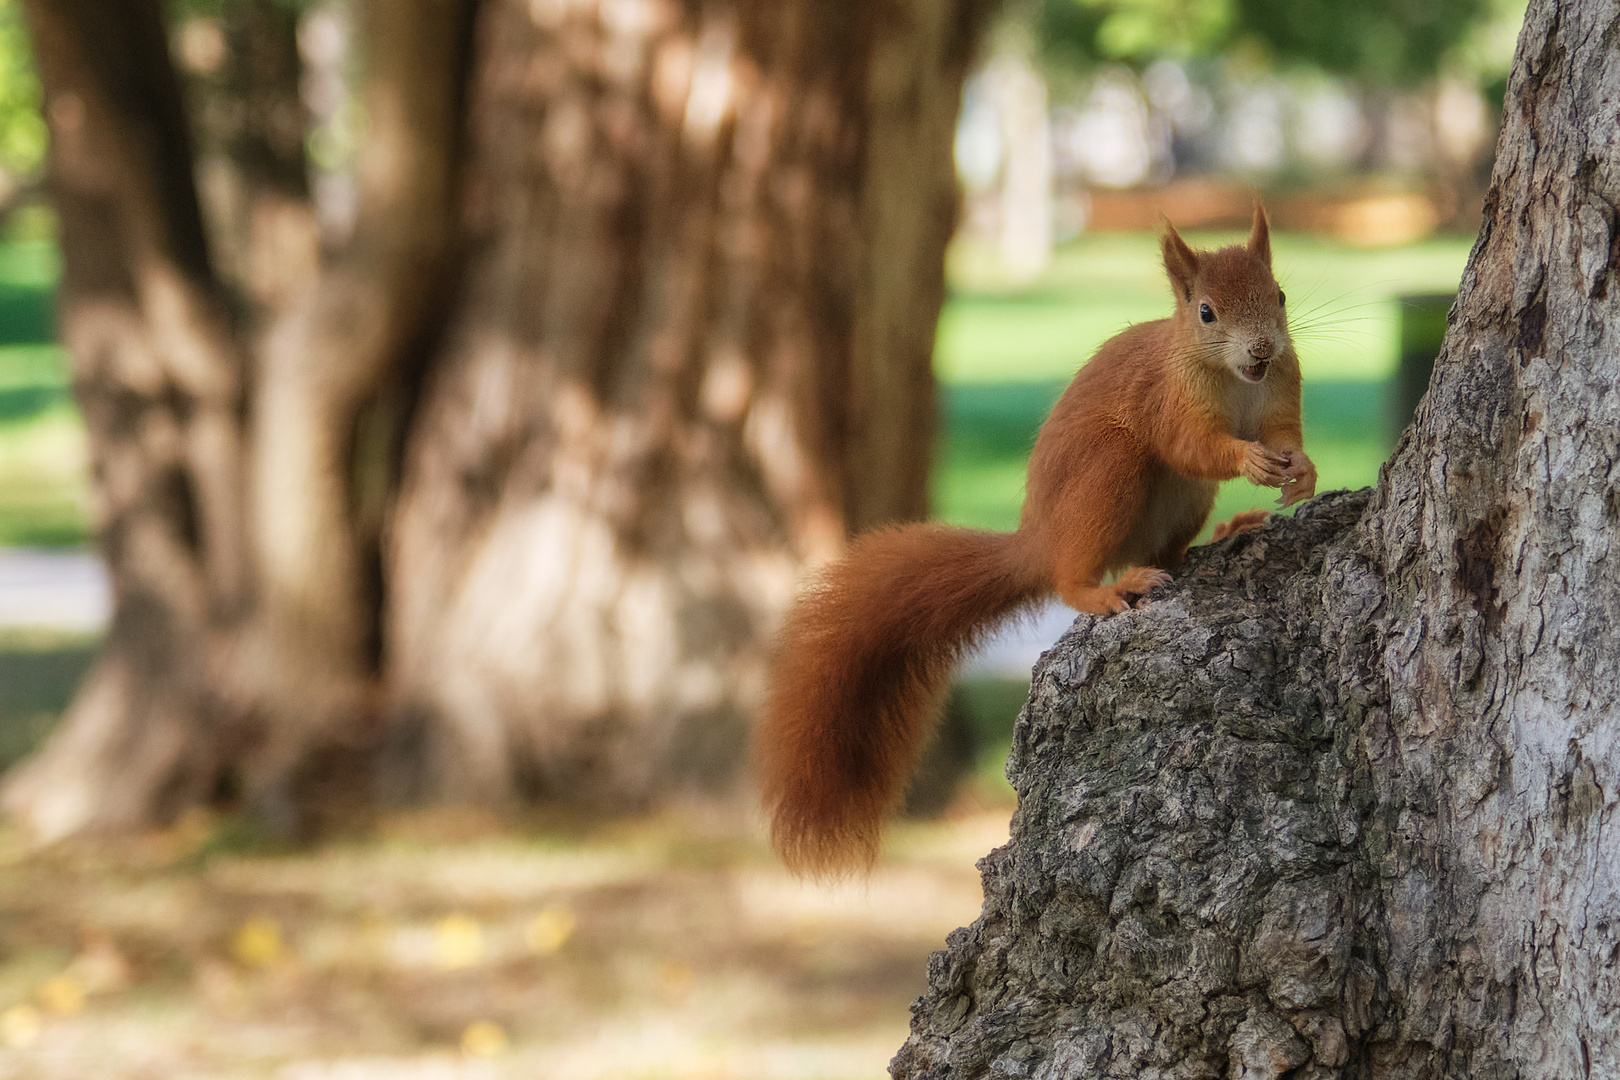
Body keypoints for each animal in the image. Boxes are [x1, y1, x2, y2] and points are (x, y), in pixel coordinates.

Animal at [758, 207, 1315, 874]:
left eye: (1279, 295)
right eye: (1206, 312)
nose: (1262, 347)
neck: (1237, 380)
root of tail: (1041, 539)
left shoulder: (1280, 390)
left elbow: (1285, 434)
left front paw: (1301, 471)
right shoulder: (1169, 400)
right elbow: (1193, 446)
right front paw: (1246, 458)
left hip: (1182, 505)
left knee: (1166, 552)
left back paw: (1227, 530)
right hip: (1108, 471)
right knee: (1072, 576)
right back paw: (1103, 591)